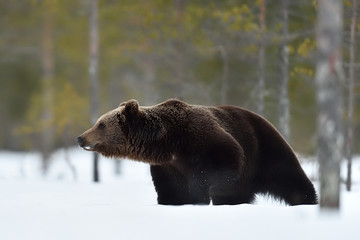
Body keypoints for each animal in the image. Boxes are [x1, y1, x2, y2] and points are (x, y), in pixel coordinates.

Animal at [78, 98, 318, 205]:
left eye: (101, 124)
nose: (81, 137)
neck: (168, 142)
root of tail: (264, 119)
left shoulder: (204, 139)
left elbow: (226, 160)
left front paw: (206, 195)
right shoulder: (169, 165)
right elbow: (171, 186)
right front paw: (173, 200)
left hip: (264, 148)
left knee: (290, 177)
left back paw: (308, 200)